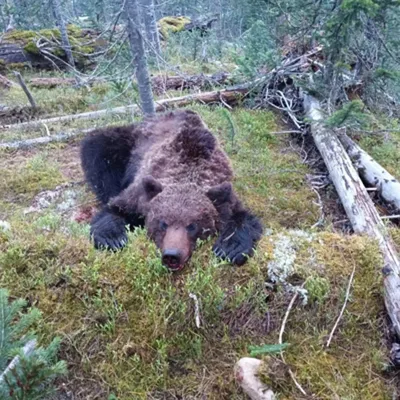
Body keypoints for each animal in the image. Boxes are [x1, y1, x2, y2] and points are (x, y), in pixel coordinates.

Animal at [80, 109, 262, 272]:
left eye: (192, 225)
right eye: (163, 223)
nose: (172, 255)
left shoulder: (225, 193)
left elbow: (244, 218)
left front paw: (230, 248)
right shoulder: (140, 193)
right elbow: (115, 208)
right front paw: (113, 239)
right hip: (129, 143)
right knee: (99, 147)